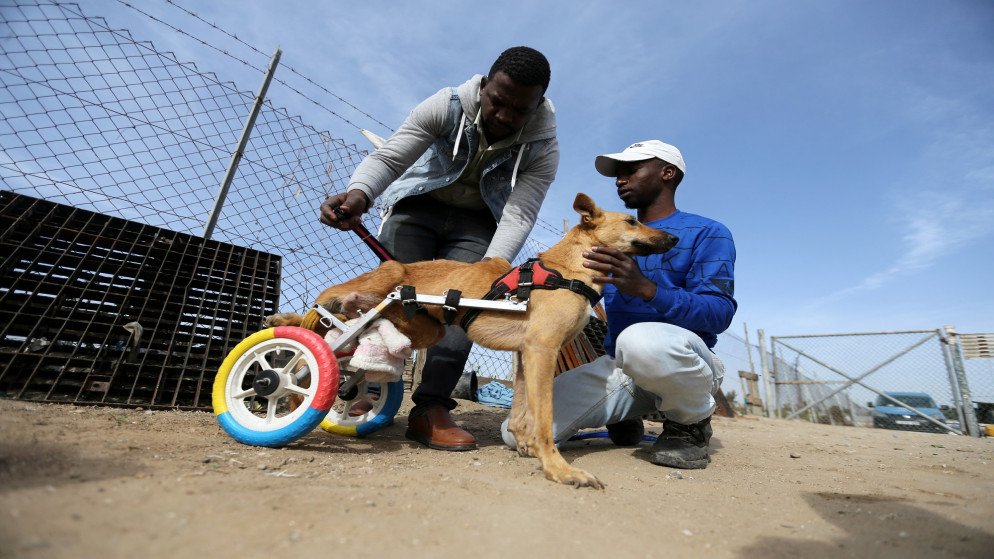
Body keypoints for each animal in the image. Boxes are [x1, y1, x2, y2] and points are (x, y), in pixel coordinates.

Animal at [268, 194, 680, 490]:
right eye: (631, 220)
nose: (674, 236)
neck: (568, 270)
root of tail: (399, 266)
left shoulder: (525, 354)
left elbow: (521, 412)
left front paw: (526, 446)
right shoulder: (542, 350)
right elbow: (544, 419)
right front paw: (560, 469)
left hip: (413, 325)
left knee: (341, 334)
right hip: (375, 285)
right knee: (323, 308)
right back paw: (289, 344)